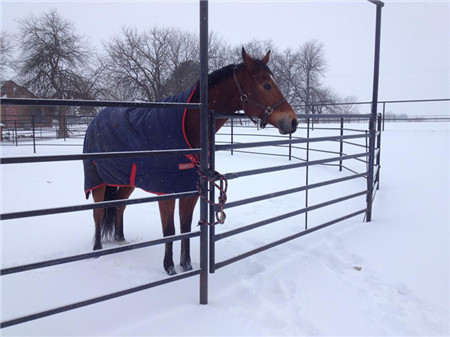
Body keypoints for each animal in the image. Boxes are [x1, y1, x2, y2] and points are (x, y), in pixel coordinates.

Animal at [83, 48, 298, 274]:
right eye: (266, 85)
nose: (293, 121)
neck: (187, 126)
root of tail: (95, 121)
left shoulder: (191, 188)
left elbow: (185, 225)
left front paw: (186, 264)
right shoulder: (166, 191)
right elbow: (169, 229)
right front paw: (169, 267)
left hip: (126, 181)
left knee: (119, 206)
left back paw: (120, 239)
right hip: (97, 181)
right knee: (98, 212)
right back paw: (97, 249)